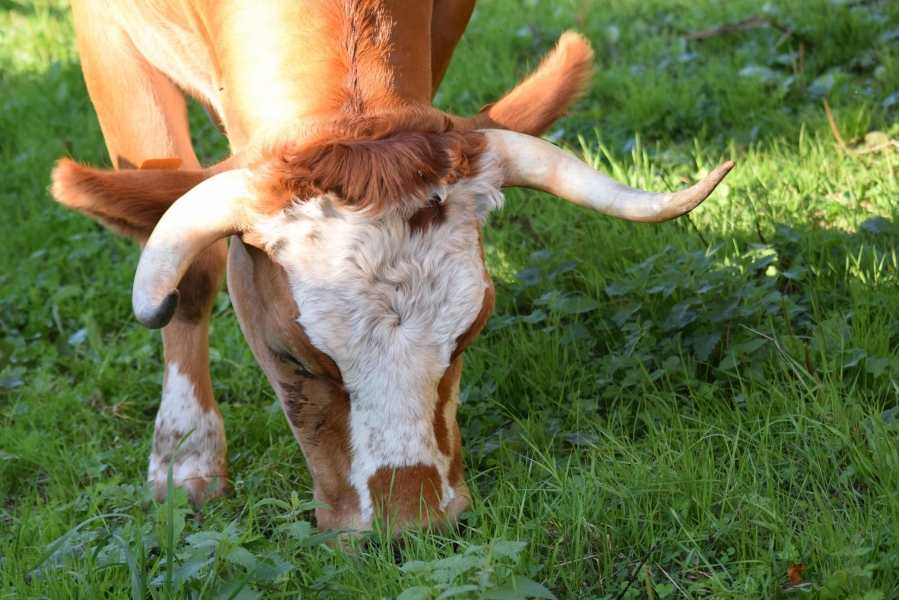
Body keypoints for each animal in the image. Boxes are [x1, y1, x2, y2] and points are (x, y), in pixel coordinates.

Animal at [51, 0, 733, 534]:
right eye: (289, 358)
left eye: (470, 334)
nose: (411, 527)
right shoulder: (107, 38)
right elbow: (188, 277)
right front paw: (185, 458)